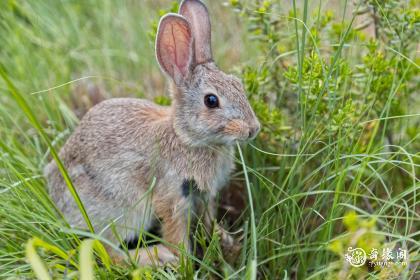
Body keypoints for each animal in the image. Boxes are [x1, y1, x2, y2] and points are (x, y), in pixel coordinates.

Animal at [42, 0, 260, 266]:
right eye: (211, 101)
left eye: (238, 84)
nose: (253, 129)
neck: (186, 138)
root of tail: (55, 195)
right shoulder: (172, 195)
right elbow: (176, 233)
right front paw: (183, 261)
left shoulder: (204, 197)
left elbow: (208, 221)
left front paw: (227, 241)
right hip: (124, 209)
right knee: (108, 251)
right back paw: (155, 257)